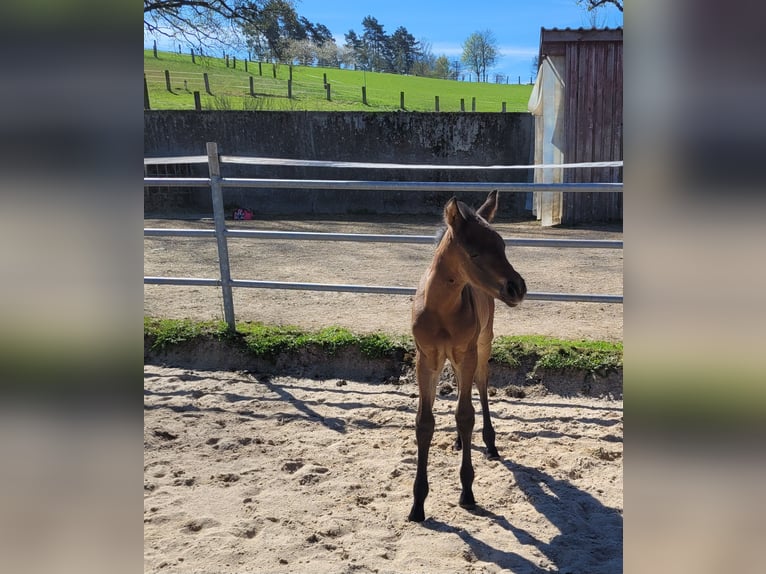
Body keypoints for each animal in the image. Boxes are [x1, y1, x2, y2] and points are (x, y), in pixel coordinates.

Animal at [408, 190, 527, 523]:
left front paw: (467, 491)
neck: (441, 310)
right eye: (474, 254)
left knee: (481, 385)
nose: (517, 287)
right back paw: (461, 442)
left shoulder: (468, 352)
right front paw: (417, 505)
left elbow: (466, 415)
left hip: (483, 343)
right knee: (464, 386)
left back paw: (489, 442)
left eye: (502, 246)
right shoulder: (426, 359)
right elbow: (424, 422)